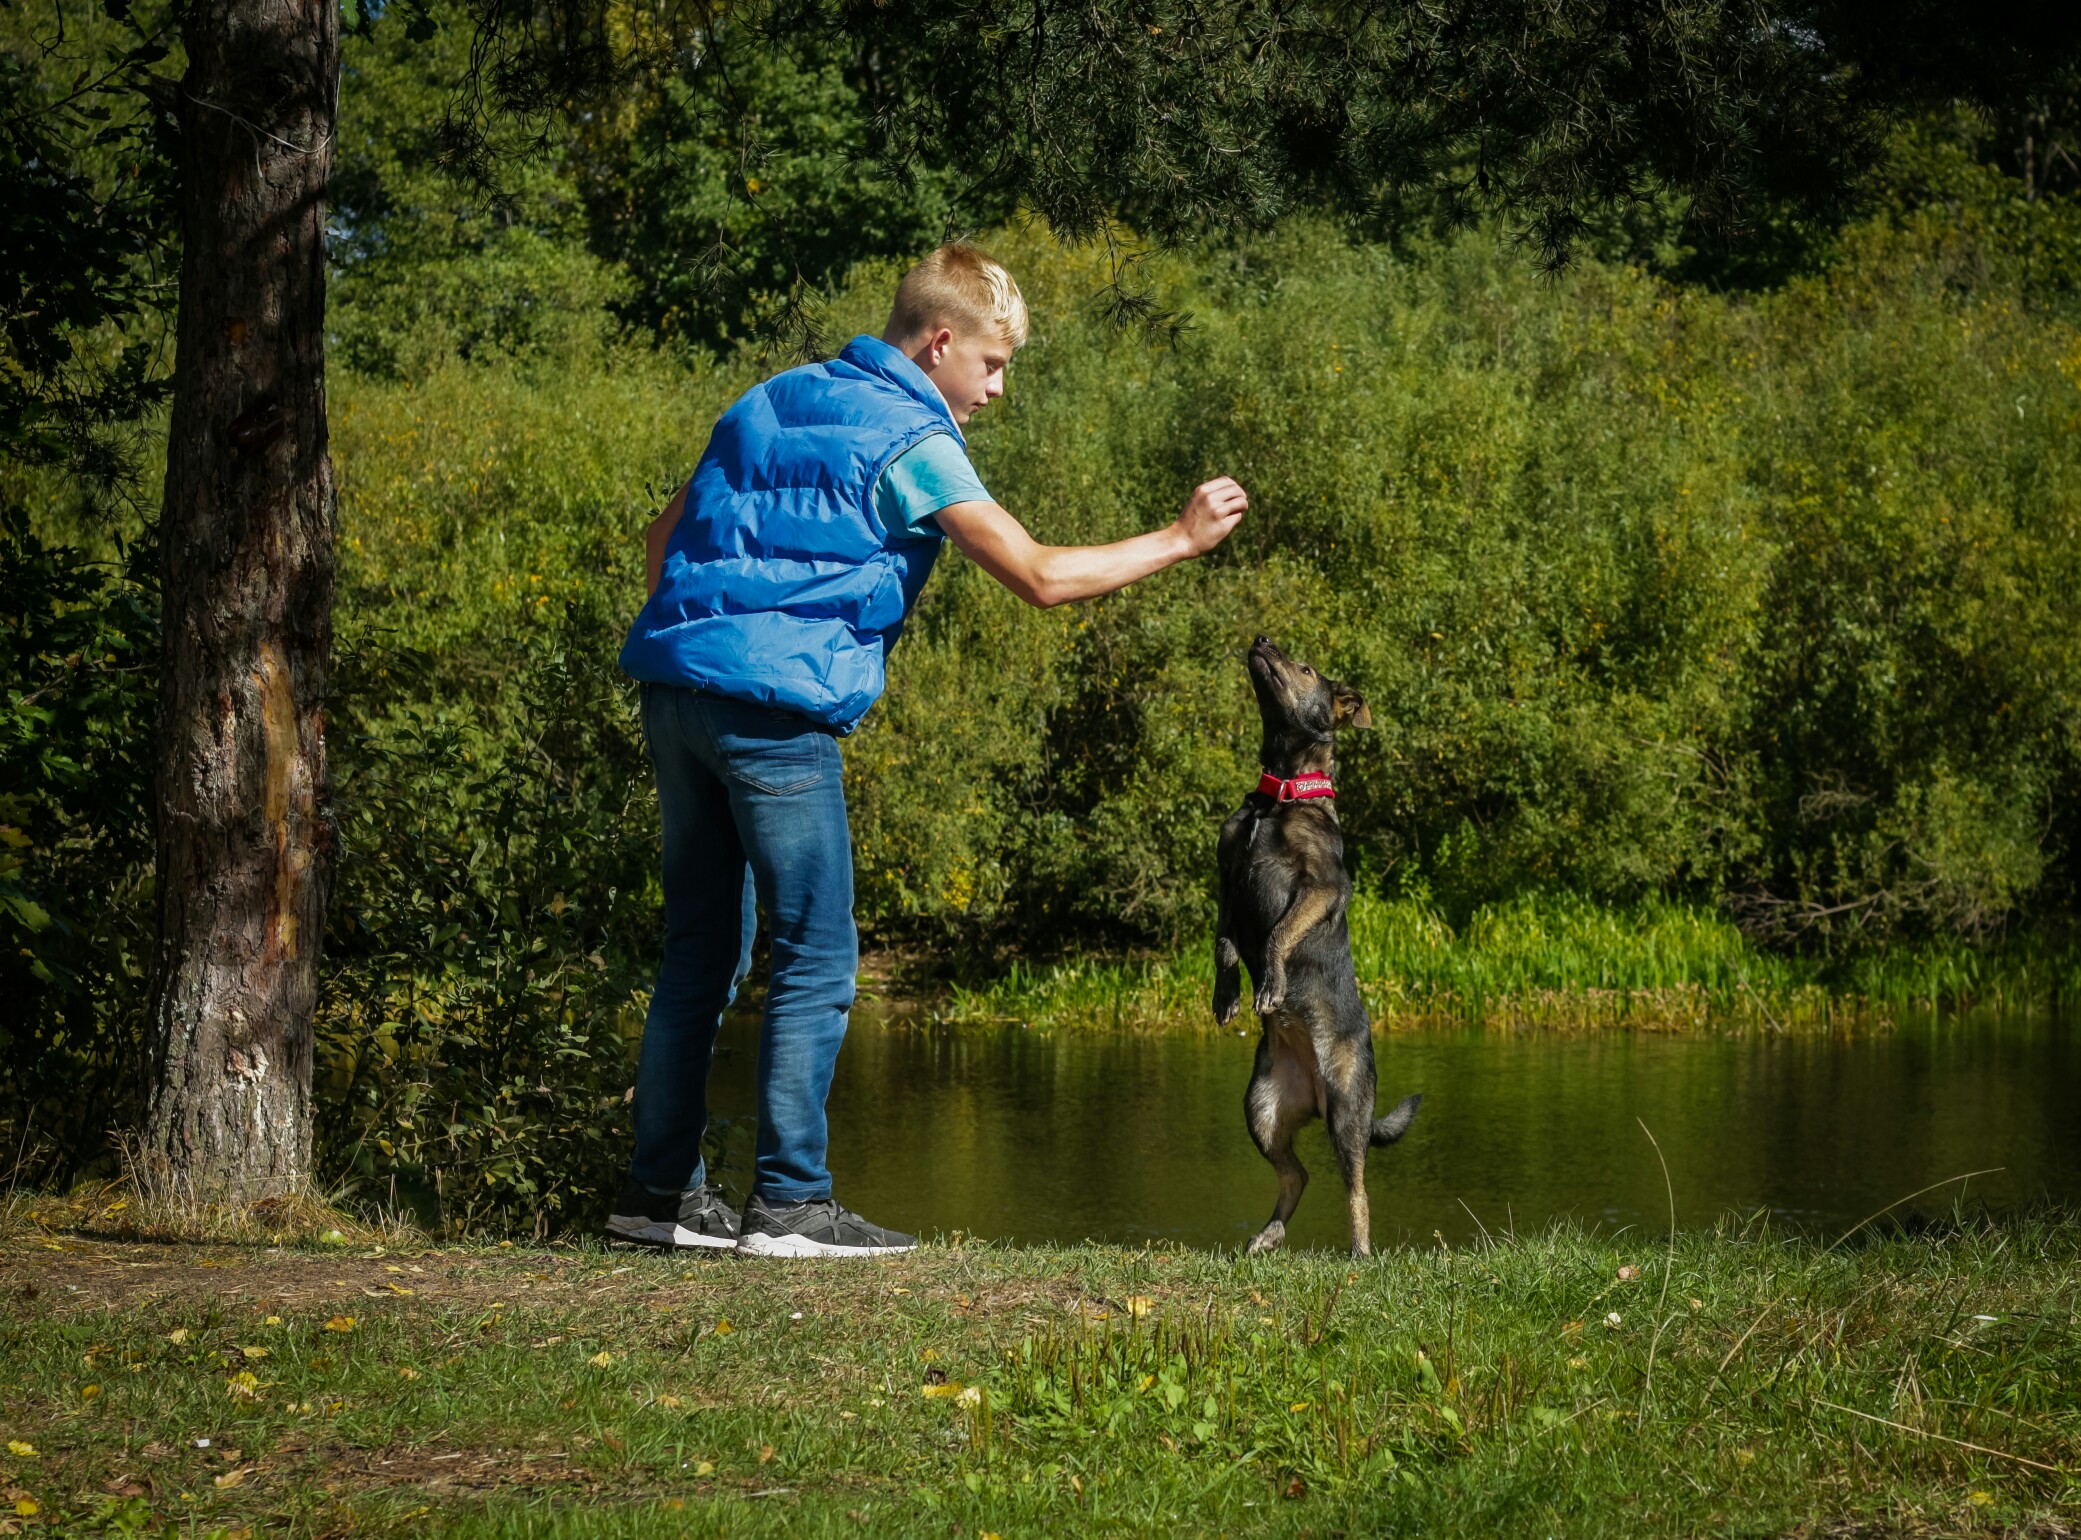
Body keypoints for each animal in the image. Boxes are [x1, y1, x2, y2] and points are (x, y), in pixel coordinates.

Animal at [1215, 636, 1422, 1257]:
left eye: (1305, 668)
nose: (1261, 640)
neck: (1279, 796)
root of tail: (1312, 1093)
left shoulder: (1322, 886)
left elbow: (1280, 933)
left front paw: (1271, 984)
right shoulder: (1226, 881)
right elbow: (1226, 945)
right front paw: (1228, 995)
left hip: (1348, 1112)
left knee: (1356, 1187)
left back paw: (1360, 1252)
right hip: (1260, 1108)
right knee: (1297, 1175)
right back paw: (1268, 1234)